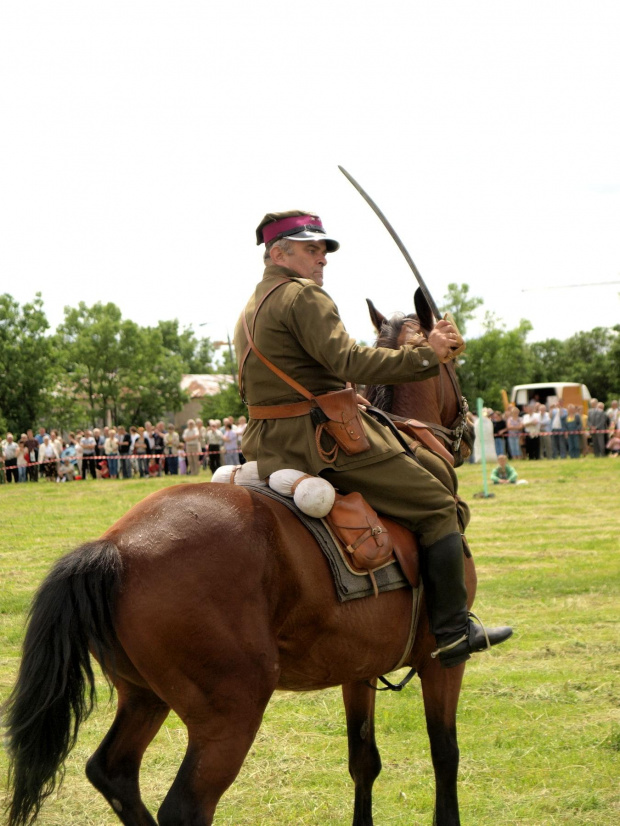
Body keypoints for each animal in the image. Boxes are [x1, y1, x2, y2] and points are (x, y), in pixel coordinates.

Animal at [2, 296, 478, 824]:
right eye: (453, 357)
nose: (471, 433)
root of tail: (115, 548)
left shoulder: (358, 668)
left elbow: (363, 761)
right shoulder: (443, 662)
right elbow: (445, 754)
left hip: (143, 696)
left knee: (113, 772)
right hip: (231, 711)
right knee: (185, 806)